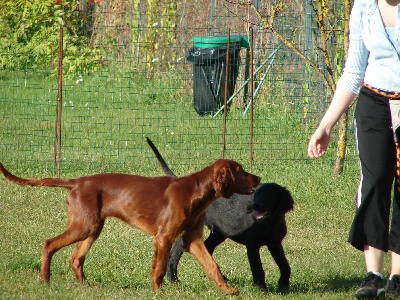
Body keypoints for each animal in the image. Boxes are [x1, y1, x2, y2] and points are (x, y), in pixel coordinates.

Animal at [0, 158, 260, 294]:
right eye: (241, 171)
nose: (258, 178)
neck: (195, 191)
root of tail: (78, 182)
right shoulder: (164, 236)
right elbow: (160, 268)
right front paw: (158, 292)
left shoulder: (191, 239)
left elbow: (212, 265)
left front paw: (228, 290)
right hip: (84, 226)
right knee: (49, 243)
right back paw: (45, 279)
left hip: (93, 227)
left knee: (75, 258)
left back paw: (86, 286)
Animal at [145, 138, 292, 290]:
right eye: (256, 195)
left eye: (270, 195)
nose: (255, 205)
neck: (270, 222)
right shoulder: (252, 245)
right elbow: (258, 268)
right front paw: (261, 288)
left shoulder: (275, 243)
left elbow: (285, 266)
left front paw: (283, 285)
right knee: (175, 252)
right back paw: (173, 278)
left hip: (218, 233)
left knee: (207, 248)